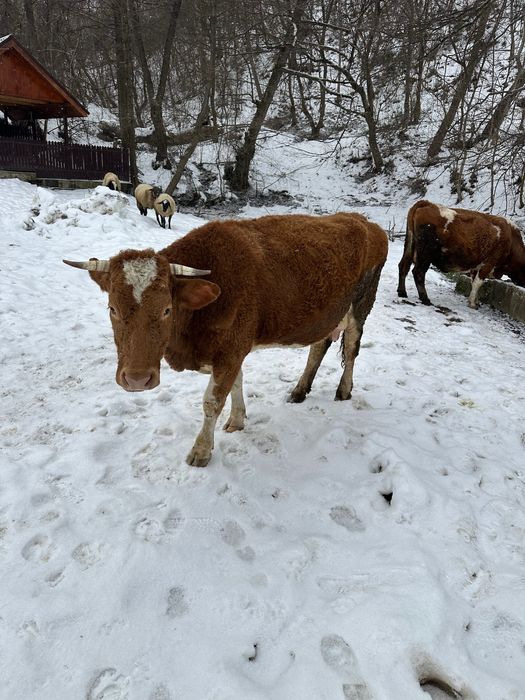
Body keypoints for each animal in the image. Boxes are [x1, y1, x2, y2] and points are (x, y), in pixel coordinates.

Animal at [64, 213, 388, 467]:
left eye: (167, 309)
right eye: (112, 308)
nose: (136, 379)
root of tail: (365, 221)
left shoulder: (231, 350)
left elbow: (212, 401)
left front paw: (201, 451)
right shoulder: (233, 350)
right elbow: (236, 383)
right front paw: (237, 420)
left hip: (361, 305)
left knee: (352, 348)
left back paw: (343, 390)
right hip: (327, 315)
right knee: (319, 346)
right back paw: (299, 390)